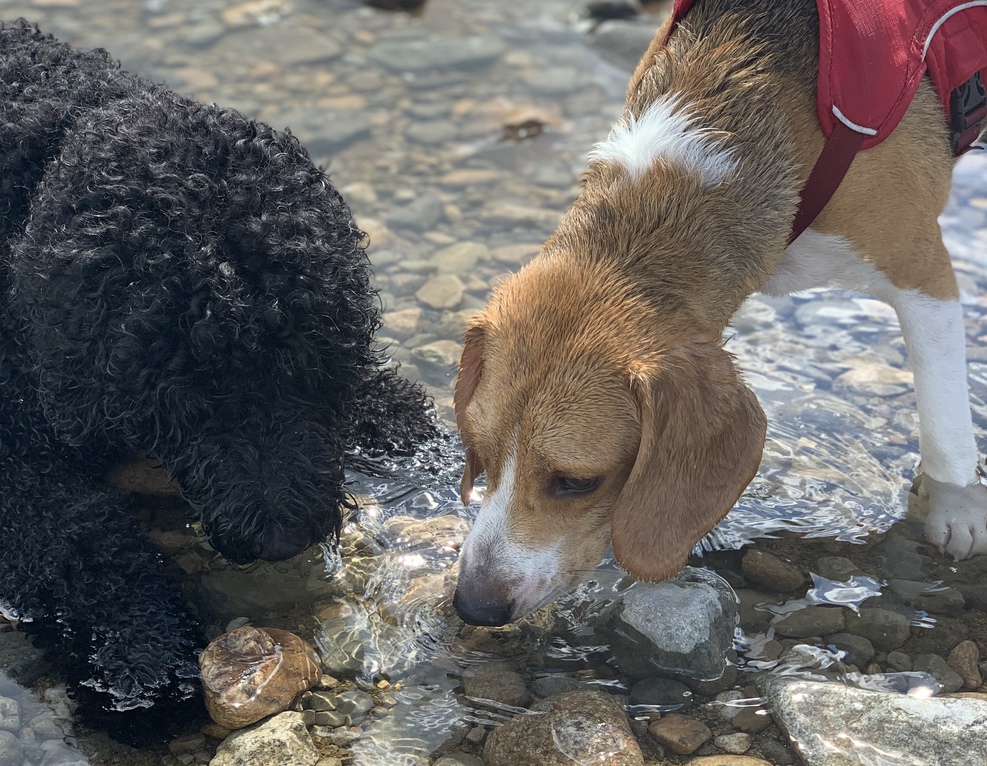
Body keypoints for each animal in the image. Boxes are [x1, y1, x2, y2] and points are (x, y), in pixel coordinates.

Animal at [0, 19, 432, 720]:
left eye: (311, 366)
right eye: (185, 394)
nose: (282, 536)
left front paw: (417, 440)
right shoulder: (16, 459)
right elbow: (83, 542)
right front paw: (141, 659)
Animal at [452, 0, 987, 628]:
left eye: (576, 482)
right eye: (481, 453)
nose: (473, 606)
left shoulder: (922, 271)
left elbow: (944, 416)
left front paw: (956, 509)